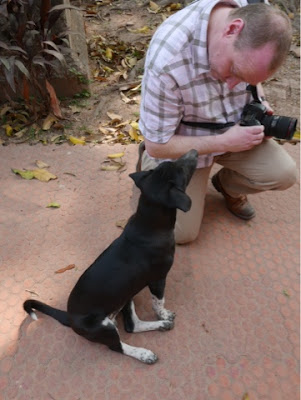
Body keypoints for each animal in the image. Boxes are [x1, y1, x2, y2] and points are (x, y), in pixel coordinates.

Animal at [22, 148, 197, 364]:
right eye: (181, 169)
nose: (194, 152)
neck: (148, 224)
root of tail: (69, 318)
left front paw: (163, 319)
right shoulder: (158, 279)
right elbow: (159, 302)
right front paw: (164, 314)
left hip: (126, 295)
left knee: (132, 325)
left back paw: (159, 328)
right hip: (103, 325)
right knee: (117, 345)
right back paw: (144, 353)